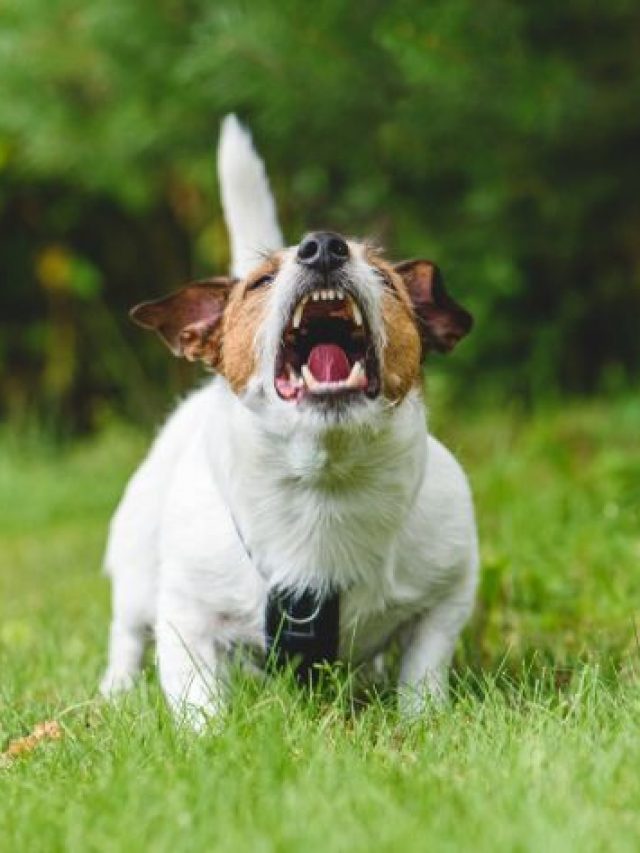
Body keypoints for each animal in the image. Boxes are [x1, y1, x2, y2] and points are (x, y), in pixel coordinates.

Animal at [100, 115, 478, 724]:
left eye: (385, 277)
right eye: (259, 282)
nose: (323, 246)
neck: (323, 489)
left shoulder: (446, 595)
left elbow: (423, 671)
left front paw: (421, 721)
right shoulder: (186, 614)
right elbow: (195, 695)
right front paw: (208, 737)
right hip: (136, 570)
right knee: (128, 636)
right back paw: (115, 693)